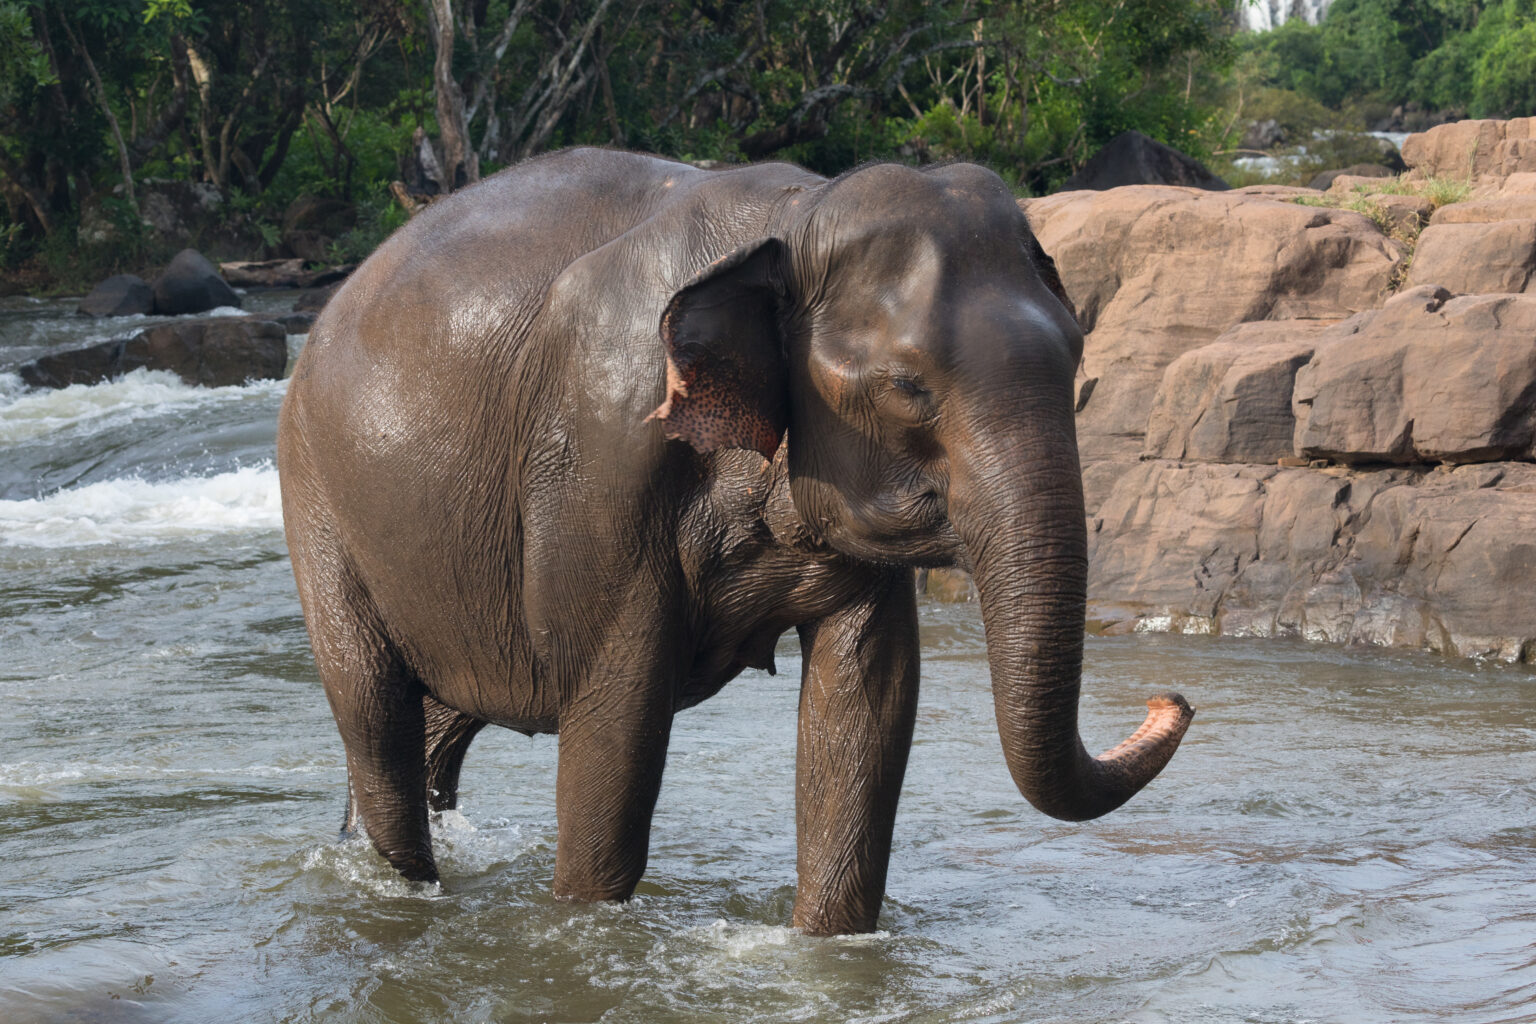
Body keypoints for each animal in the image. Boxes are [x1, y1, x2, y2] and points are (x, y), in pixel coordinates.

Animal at [279, 145, 1198, 939]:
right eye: (908, 388)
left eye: (1076, 354)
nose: (1172, 698)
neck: (796, 218)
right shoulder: (600, 458)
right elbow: (615, 716)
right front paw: (584, 933)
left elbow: (867, 703)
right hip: (315, 500)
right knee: (375, 714)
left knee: (431, 727)